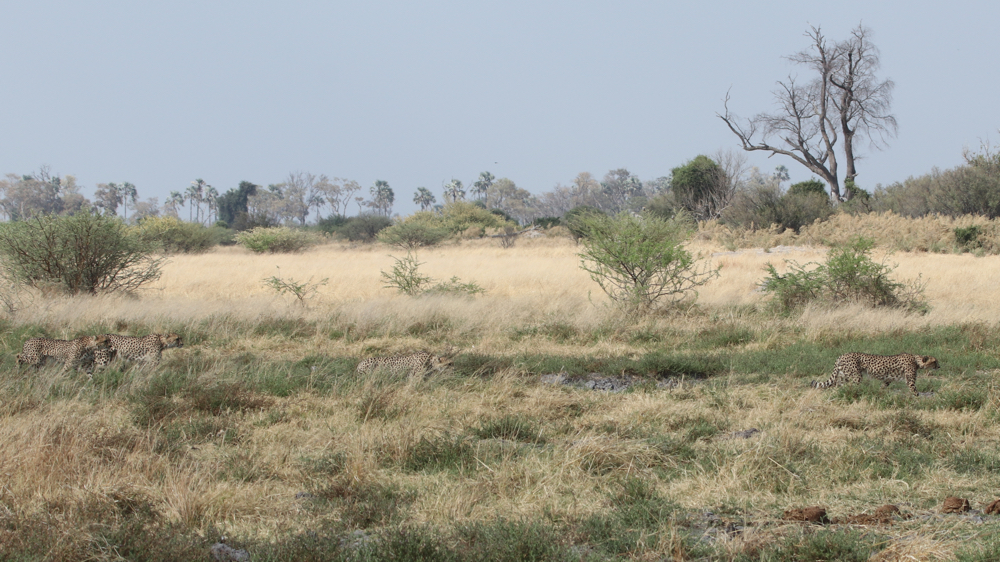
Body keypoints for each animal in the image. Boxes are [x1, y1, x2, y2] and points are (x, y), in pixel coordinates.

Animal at [812, 352, 940, 396]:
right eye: (935, 361)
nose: (939, 366)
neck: (916, 360)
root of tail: (842, 355)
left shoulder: (887, 379)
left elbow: (883, 387)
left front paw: (880, 394)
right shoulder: (910, 381)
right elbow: (914, 390)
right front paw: (919, 398)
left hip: (844, 376)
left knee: (837, 386)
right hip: (856, 376)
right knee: (850, 387)